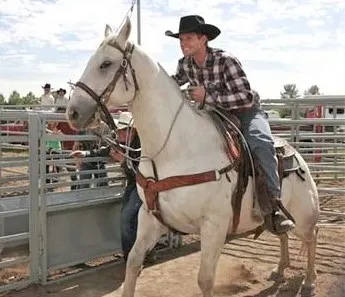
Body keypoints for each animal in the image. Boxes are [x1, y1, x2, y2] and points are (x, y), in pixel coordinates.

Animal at [66, 16, 320, 296]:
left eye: (106, 64)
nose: (72, 112)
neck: (173, 149)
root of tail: (297, 156)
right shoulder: (150, 218)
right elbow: (132, 263)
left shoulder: (213, 225)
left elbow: (205, 280)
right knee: (284, 236)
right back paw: (280, 269)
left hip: (304, 215)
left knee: (311, 236)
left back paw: (309, 281)